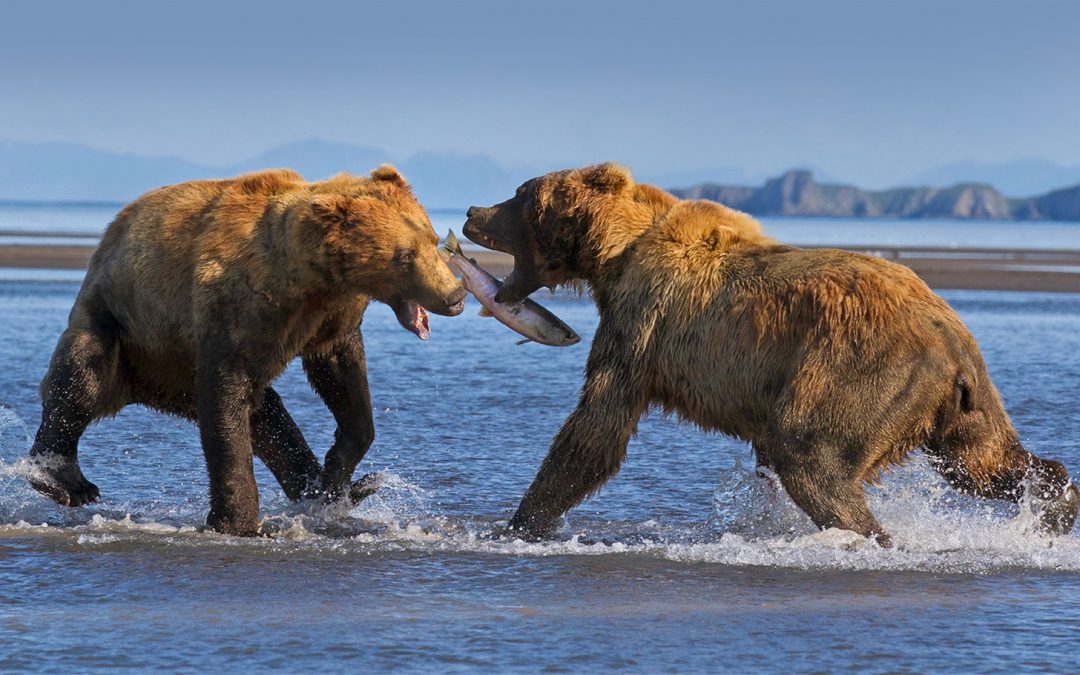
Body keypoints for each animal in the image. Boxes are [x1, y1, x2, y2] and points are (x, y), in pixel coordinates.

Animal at [28, 165, 465, 536]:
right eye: (405, 255)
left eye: (433, 240)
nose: (455, 295)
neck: (310, 280)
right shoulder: (241, 309)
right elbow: (227, 394)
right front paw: (239, 522)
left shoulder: (331, 316)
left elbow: (344, 381)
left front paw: (335, 474)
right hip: (122, 324)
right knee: (81, 381)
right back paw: (65, 481)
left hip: (175, 373)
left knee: (268, 418)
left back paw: (326, 489)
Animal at [463, 163, 1079, 547]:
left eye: (519, 194)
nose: (471, 210)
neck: (614, 254)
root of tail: (951, 340)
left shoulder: (641, 323)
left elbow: (597, 428)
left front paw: (517, 522)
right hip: (960, 402)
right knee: (984, 462)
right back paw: (1057, 505)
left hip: (863, 369)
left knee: (811, 453)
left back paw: (867, 533)